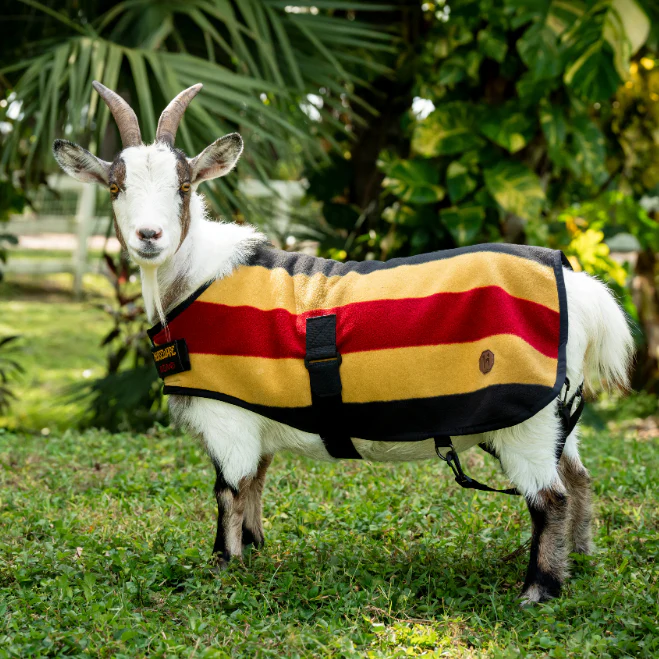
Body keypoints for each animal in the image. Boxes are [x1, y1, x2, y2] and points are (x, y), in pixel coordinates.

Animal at [53, 83, 634, 605]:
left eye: (184, 185)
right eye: (115, 187)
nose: (149, 236)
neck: (196, 279)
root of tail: (581, 289)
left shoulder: (228, 421)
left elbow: (227, 491)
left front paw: (222, 567)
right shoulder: (258, 416)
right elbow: (255, 485)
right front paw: (255, 552)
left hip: (525, 424)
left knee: (550, 498)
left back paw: (539, 589)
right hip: (555, 418)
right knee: (579, 480)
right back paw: (581, 559)